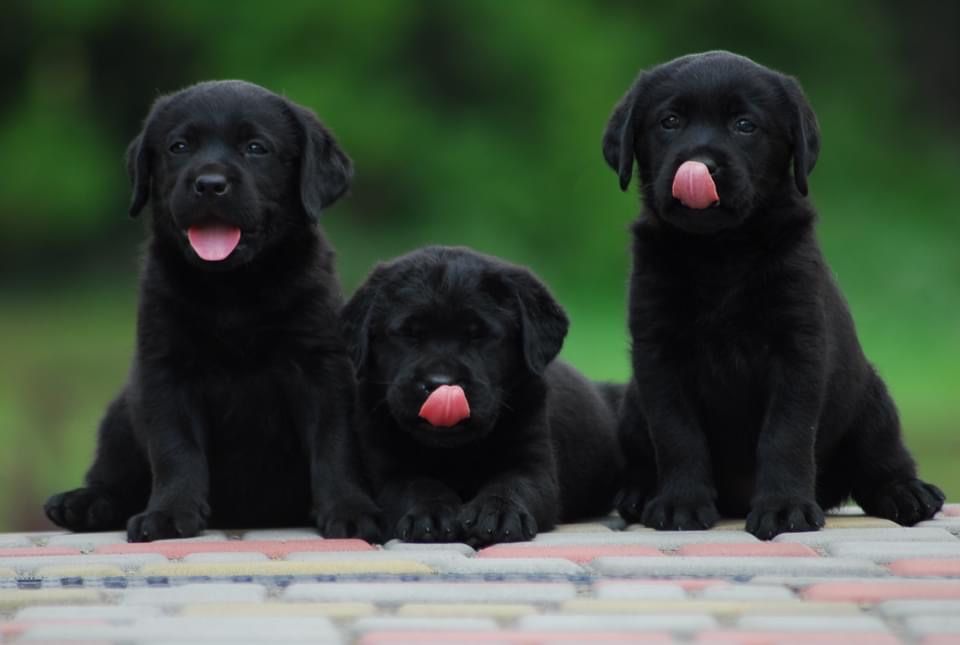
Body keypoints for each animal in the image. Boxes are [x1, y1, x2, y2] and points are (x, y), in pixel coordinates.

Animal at [45, 82, 380, 544]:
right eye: (179, 146)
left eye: (256, 148)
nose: (209, 184)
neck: (232, 289)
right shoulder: (165, 369)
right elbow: (175, 447)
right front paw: (169, 514)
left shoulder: (322, 365)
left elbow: (335, 441)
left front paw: (349, 510)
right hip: (121, 413)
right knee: (116, 476)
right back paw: (84, 503)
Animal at [342, 245, 628, 544]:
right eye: (409, 334)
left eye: (478, 336)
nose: (441, 383)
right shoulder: (386, 469)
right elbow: (415, 485)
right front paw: (432, 513)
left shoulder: (534, 463)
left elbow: (513, 484)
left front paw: (498, 513)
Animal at [604, 50, 940, 536]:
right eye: (670, 121)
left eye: (745, 125)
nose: (701, 166)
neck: (720, 251)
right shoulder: (657, 353)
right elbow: (676, 432)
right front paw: (681, 503)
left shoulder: (797, 348)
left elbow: (786, 434)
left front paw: (784, 508)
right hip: (631, 404)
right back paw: (638, 493)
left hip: (872, 399)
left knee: (883, 461)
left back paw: (907, 492)